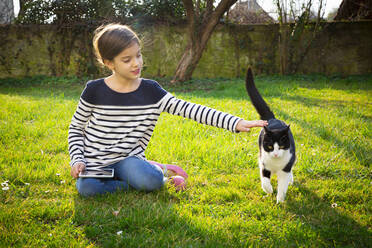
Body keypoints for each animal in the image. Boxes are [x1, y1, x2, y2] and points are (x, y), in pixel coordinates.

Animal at [244, 68, 296, 203]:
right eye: (270, 147)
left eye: (281, 146)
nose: (276, 154)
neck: (276, 163)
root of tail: (272, 119)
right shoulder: (264, 162)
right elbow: (265, 180)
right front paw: (269, 190)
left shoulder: (285, 167)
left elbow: (283, 185)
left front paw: (280, 201)